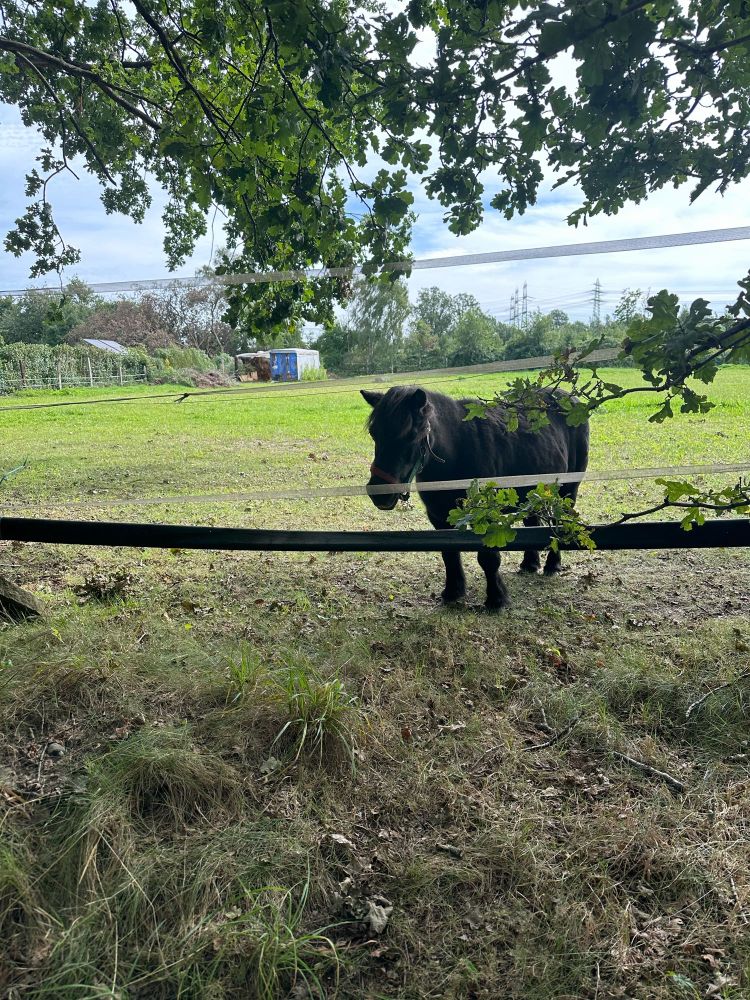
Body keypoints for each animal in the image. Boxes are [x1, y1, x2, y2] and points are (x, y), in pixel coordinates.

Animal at [361, 385, 590, 610]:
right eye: (374, 433)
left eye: (411, 435)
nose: (380, 494)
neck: (456, 452)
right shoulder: (439, 517)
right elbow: (449, 554)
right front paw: (453, 592)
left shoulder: (484, 516)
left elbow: (488, 558)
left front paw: (496, 599)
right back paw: (530, 564)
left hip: (567, 491)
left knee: (559, 522)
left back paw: (553, 564)